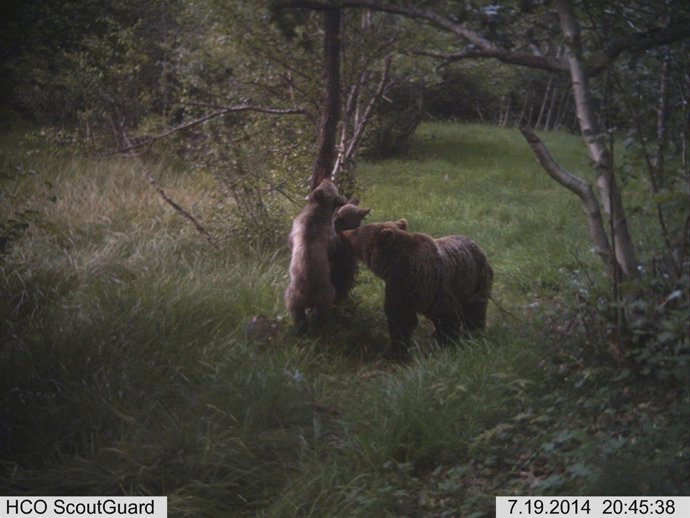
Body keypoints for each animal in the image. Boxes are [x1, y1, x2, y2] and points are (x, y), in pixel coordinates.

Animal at [285, 179, 348, 332]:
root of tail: (308, 295)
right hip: (325, 297)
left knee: (300, 319)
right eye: (332, 187)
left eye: (327, 185)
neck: (317, 209)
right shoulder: (331, 236)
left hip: (293, 302)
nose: (327, 179)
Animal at [341, 219, 493, 359]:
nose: (344, 232)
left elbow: (447, 317)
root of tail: (474, 242)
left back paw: (474, 331)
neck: (401, 267)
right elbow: (400, 319)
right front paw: (397, 351)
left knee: (475, 309)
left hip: (475, 281)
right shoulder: (399, 289)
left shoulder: (433, 287)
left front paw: (447, 345)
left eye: (357, 231)